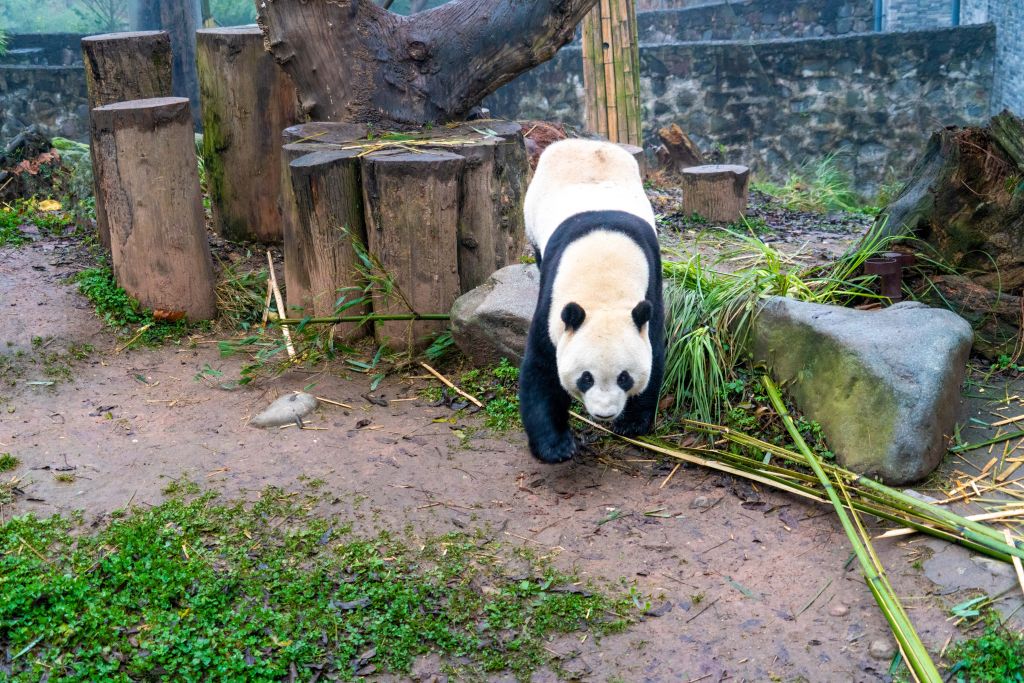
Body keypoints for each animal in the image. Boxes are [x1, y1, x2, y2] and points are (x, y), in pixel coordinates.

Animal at [520, 139, 663, 464]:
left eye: (624, 378)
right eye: (586, 378)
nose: (604, 414)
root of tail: (587, 142)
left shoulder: (651, 289)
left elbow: (655, 352)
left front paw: (631, 422)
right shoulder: (552, 305)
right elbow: (542, 366)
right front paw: (556, 447)